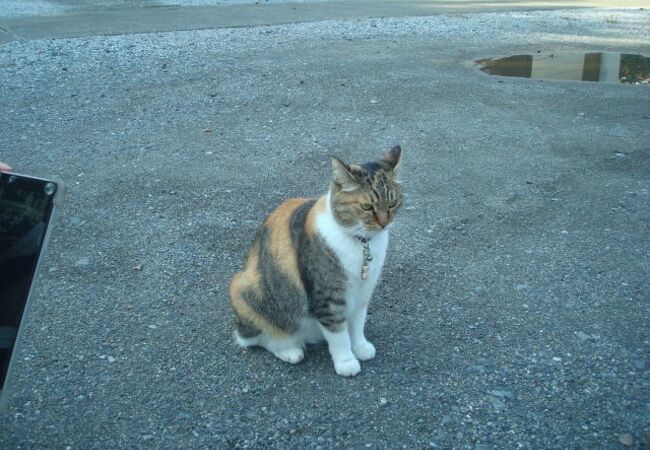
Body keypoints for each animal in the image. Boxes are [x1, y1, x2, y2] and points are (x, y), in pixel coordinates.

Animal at [227, 147, 400, 376]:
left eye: (392, 203)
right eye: (366, 207)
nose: (384, 223)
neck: (361, 243)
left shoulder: (363, 290)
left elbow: (357, 323)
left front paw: (360, 346)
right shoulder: (328, 296)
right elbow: (338, 334)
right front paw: (346, 361)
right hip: (244, 288)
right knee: (258, 339)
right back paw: (290, 351)